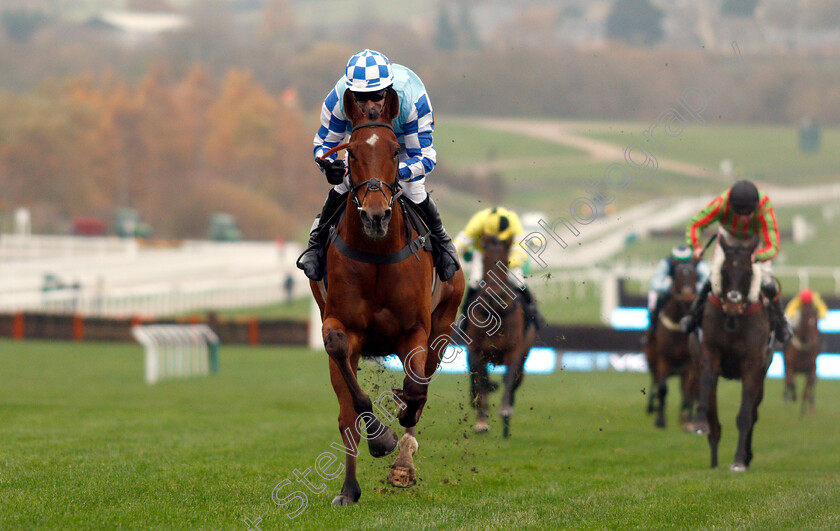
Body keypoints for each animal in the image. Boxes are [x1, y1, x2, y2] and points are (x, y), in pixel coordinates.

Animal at [308, 88, 466, 508]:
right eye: (350, 153)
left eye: (396, 151)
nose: (376, 215)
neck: (377, 253)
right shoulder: (341, 325)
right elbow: (350, 385)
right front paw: (380, 439)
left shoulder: (415, 330)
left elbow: (415, 391)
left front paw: (401, 449)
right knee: (346, 416)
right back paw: (349, 489)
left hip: (443, 327)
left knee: (422, 388)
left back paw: (404, 462)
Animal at [648, 260, 700, 430]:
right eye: (677, 276)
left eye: (695, 276)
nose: (687, 299)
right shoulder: (663, 358)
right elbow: (662, 389)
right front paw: (660, 420)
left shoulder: (689, 362)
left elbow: (688, 391)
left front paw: (686, 420)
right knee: (656, 384)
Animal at [692, 235, 772, 472]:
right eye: (725, 270)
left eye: (747, 271)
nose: (733, 302)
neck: (734, 320)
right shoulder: (710, 351)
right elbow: (707, 383)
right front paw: (699, 423)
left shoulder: (753, 365)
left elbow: (745, 415)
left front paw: (738, 460)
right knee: (715, 422)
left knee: (754, 413)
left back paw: (746, 456)